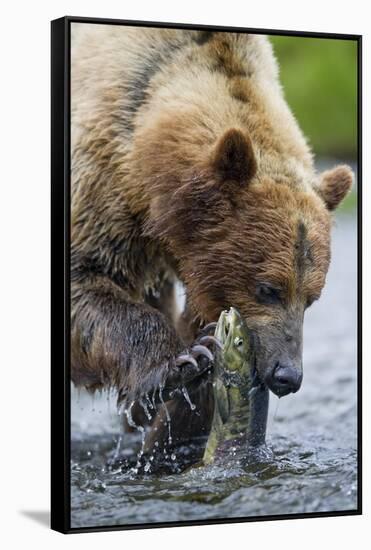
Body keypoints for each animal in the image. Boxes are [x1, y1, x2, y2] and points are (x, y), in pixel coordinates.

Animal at [70, 25, 354, 454]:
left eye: (312, 297)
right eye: (268, 288)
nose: (287, 375)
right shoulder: (101, 178)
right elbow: (86, 278)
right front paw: (182, 362)